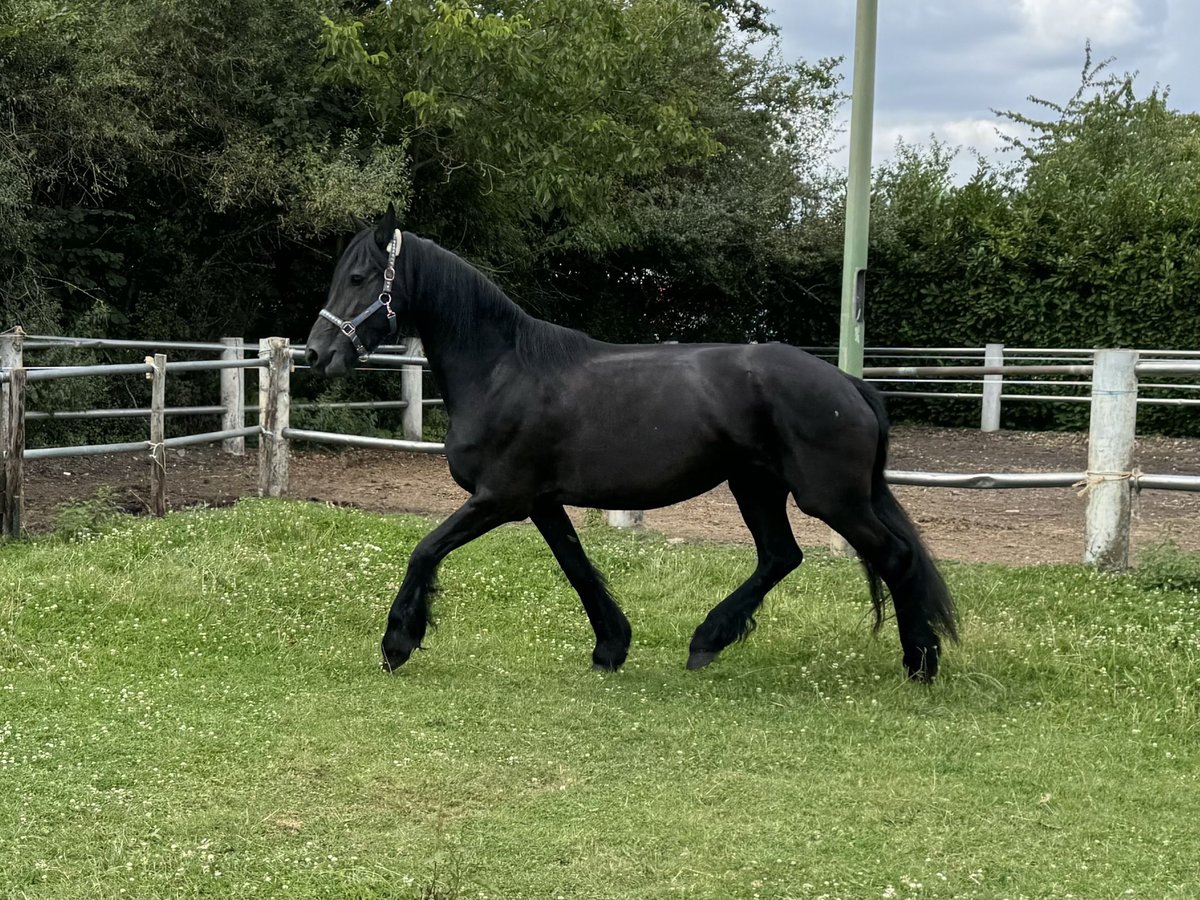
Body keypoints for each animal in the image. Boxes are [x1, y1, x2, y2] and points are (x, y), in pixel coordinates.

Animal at [307, 206, 955, 681]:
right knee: (781, 556)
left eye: (360, 279)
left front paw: (397, 641)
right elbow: (576, 566)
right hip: (756, 486)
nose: (316, 353)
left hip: (829, 498)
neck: (502, 369)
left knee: (893, 556)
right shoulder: (541, 502)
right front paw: (611, 647)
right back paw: (707, 641)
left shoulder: (500, 498)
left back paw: (920, 663)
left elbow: (425, 550)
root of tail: (850, 384)